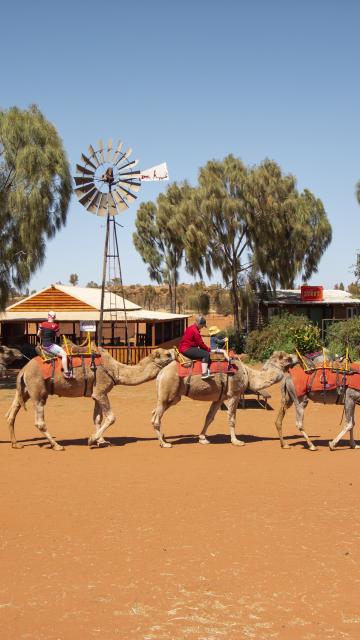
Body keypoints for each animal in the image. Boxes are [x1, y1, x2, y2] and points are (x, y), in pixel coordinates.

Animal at [5, 344, 174, 450]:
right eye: (167, 354)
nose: (175, 353)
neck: (116, 371)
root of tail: (23, 370)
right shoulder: (101, 391)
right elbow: (111, 417)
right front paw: (92, 439)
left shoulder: (96, 394)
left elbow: (97, 418)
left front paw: (101, 441)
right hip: (38, 391)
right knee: (39, 421)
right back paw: (57, 446)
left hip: (23, 391)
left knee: (12, 414)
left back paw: (16, 444)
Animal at [150, 352, 294, 448]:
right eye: (286, 357)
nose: (296, 357)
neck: (248, 374)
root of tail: (161, 374)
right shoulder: (234, 394)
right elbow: (232, 418)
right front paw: (236, 441)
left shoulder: (219, 398)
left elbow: (209, 417)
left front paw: (202, 438)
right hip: (168, 392)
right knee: (156, 418)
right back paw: (164, 444)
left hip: (172, 397)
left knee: (154, 413)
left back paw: (163, 439)